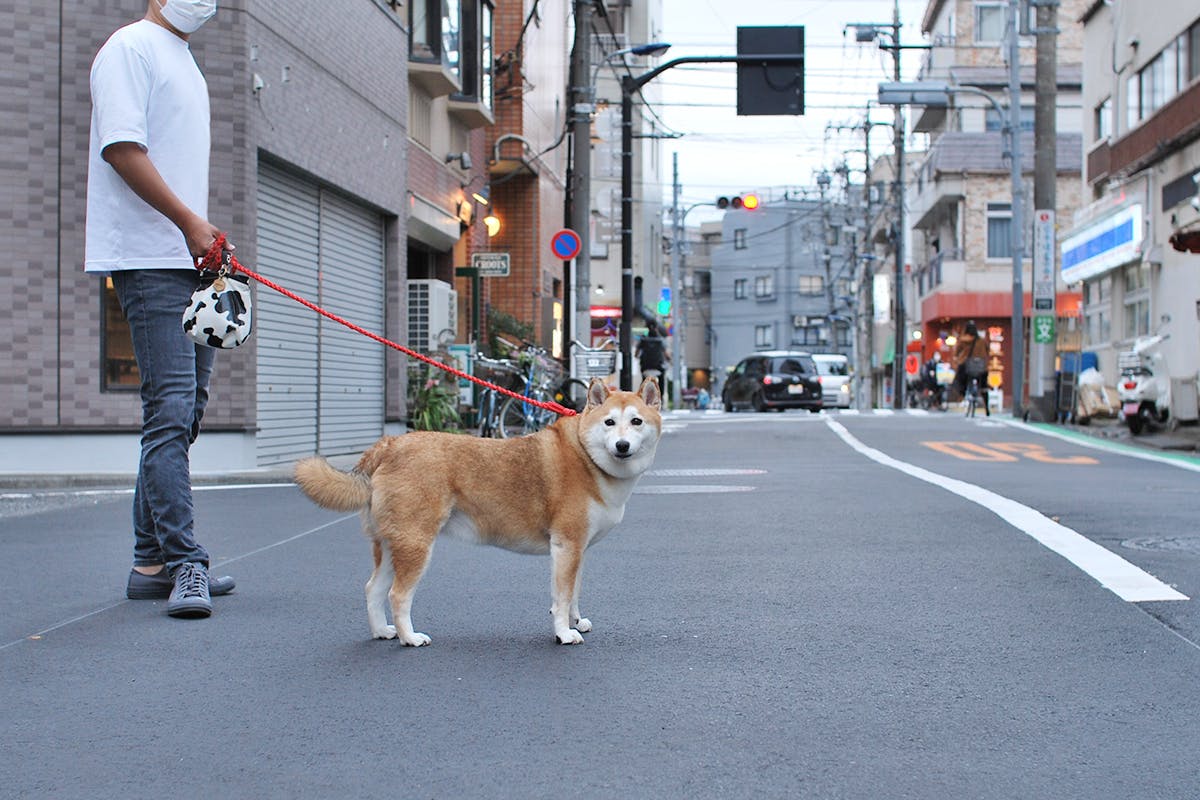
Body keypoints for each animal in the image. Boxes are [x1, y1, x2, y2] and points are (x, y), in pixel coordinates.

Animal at [294, 379, 662, 647]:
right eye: (609, 422)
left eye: (636, 421)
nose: (622, 446)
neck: (587, 457)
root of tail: (388, 444)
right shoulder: (566, 546)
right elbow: (560, 597)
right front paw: (563, 633)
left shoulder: (577, 550)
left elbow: (573, 593)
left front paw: (576, 621)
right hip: (416, 545)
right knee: (397, 595)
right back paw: (409, 638)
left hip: (391, 543)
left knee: (372, 589)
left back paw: (382, 632)